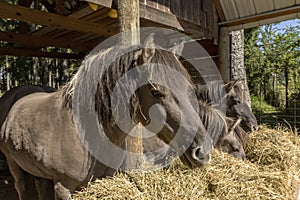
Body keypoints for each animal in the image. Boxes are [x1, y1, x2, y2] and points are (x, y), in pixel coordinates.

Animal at [0, 35, 216, 199]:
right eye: (156, 92)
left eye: (189, 89)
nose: (202, 151)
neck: (83, 133)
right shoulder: (63, 187)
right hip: (13, 164)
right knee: (21, 186)